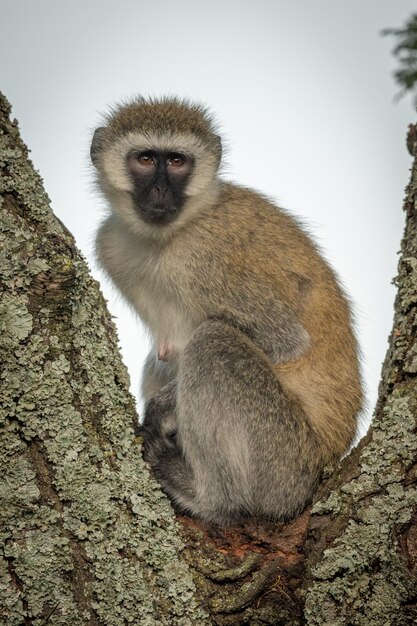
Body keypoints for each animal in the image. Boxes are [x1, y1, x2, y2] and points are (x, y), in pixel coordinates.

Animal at [91, 97, 360, 524]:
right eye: (146, 159)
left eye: (177, 161)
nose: (161, 189)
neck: (169, 236)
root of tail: (325, 463)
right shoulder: (111, 243)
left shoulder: (209, 257)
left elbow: (286, 342)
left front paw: (164, 407)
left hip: (283, 464)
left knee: (213, 342)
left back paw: (211, 498)